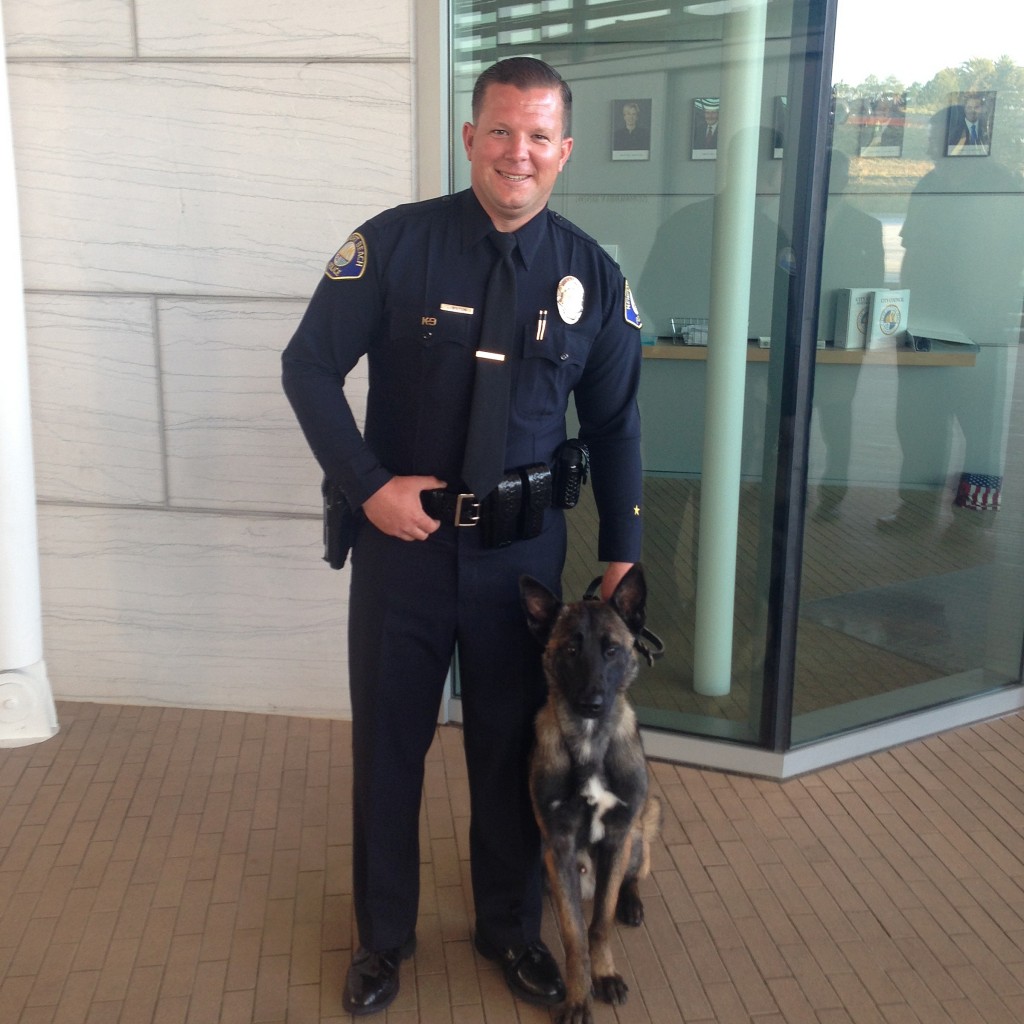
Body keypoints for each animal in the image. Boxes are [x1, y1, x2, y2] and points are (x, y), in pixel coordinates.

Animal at [524, 565, 659, 1019]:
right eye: (570, 649)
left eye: (612, 650)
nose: (592, 702)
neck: (588, 741)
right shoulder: (559, 847)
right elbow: (575, 935)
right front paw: (579, 996)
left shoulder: (617, 837)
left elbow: (599, 924)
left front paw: (605, 976)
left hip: (644, 824)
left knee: (634, 874)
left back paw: (631, 902)